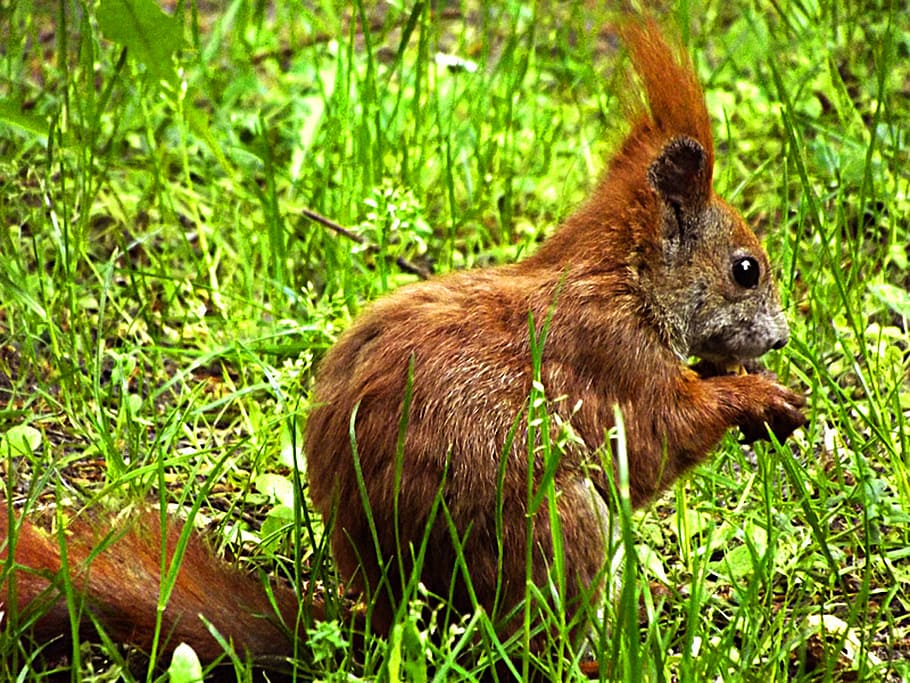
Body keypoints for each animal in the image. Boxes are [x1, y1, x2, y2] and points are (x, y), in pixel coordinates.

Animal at [5, 18, 804, 676]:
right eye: (746, 269)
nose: (781, 336)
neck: (625, 280)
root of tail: (391, 620)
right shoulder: (613, 358)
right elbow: (659, 437)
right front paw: (757, 396)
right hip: (556, 527)